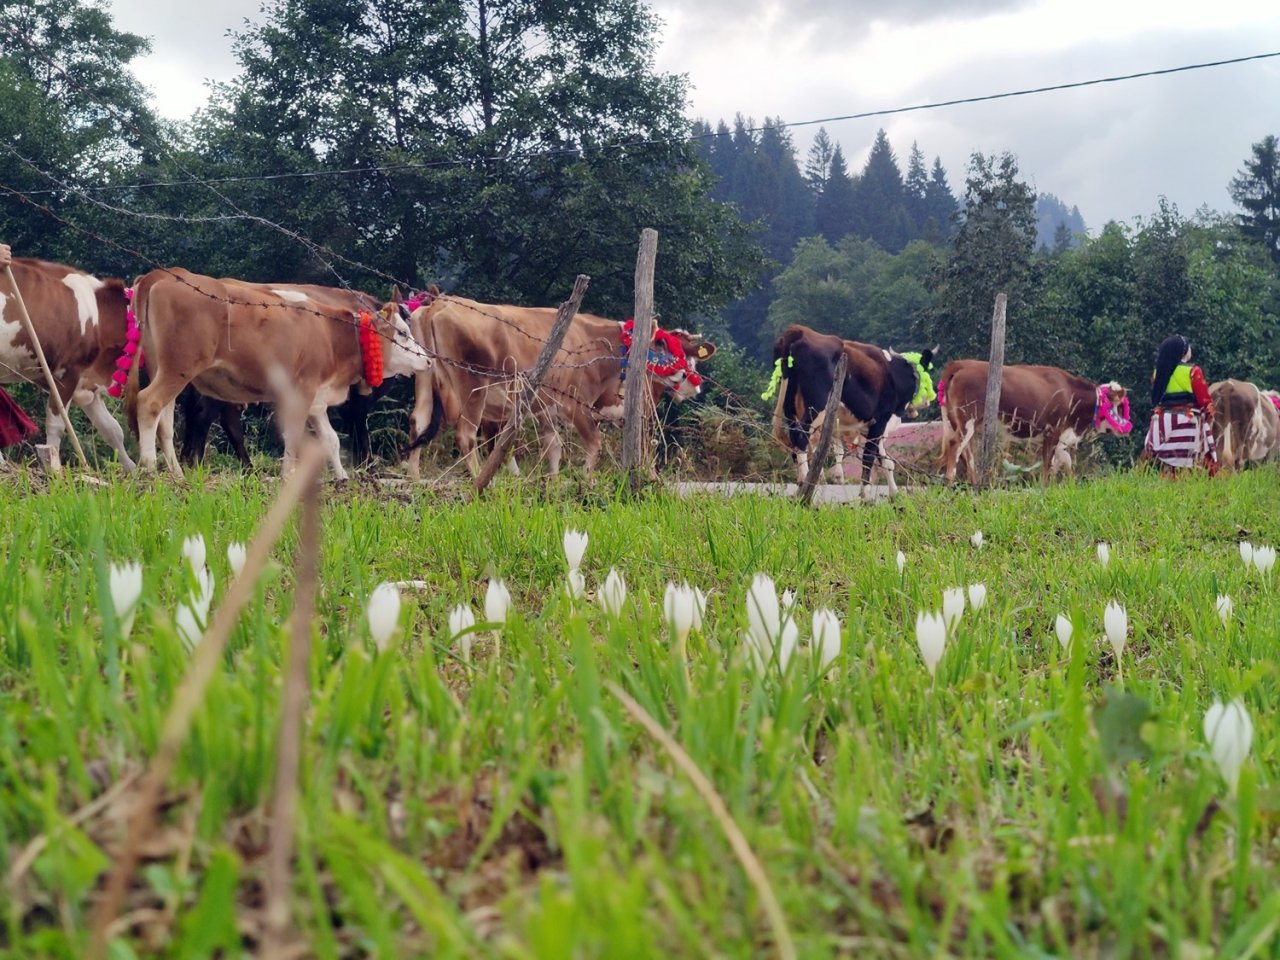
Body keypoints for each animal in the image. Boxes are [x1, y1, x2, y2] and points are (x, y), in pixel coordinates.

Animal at [0, 257, 137, 471]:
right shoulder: (68, 373)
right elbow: (56, 425)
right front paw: (54, 467)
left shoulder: (87, 383)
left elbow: (113, 430)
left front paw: (132, 470)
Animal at [124, 268, 427, 478]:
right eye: (402, 332)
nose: (427, 359)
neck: (330, 333)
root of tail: (165, 275)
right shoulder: (302, 391)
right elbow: (293, 437)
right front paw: (288, 476)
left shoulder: (317, 399)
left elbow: (330, 440)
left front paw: (342, 477)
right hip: (179, 368)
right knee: (150, 404)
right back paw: (150, 467)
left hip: (165, 368)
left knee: (165, 418)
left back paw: (176, 471)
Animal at [404, 289, 716, 478]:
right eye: (662, 344)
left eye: (690, 352)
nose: (692, 382)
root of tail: (439, 304)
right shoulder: (576, 405)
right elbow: (594, 445)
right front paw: (586, 479)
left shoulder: (548, 410)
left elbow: (553, 448)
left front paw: (552, 482)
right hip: (472, 388)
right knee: (466, 435)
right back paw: (479, 478)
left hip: (425, 379)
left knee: (419, 422)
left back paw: (415, 479)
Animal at [762, 325, 926, 499]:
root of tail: (798, 330)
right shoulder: (881, 420)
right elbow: (869, 456)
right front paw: (866, 494)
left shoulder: (869, 427)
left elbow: (885, 460)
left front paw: (894, 493)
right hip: (817, 406)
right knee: (801, 438)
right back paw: (806, 483)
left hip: (790, 405)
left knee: (795, 438)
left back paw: (802, 482)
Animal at [931, 360, 1131, 483]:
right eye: (1120, 406)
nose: (1128, 427)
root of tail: (962, 364)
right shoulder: (1053, 431)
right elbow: (1048, 464)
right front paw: (1045, 488)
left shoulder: (1063, 437)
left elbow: (1064, 463)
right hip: (967, 418)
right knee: (956, 445)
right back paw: (949, 482)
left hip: (957, 421)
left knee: (967, 452)